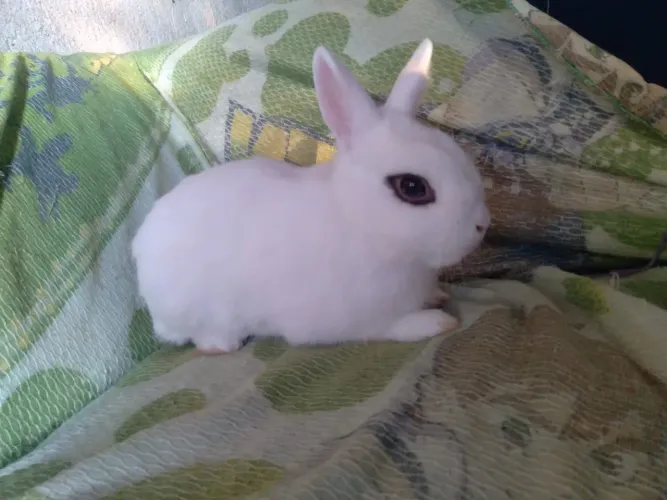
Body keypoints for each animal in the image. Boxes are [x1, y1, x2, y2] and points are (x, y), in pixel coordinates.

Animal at [131, 39, 490, 354]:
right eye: (412, 187)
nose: (482, 225)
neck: (360, 222)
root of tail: (140, 248)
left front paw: (438, 296)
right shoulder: (355, 320)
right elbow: (392, 327)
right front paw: (437, 322)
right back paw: (221, 347)